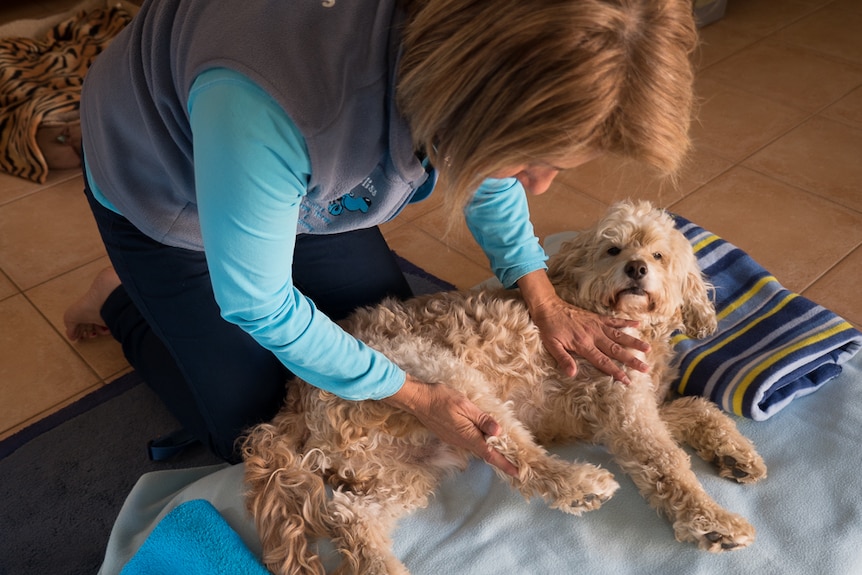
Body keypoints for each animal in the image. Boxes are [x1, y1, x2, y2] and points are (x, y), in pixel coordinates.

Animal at [243, 200, 768, 572]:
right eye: (613, 249)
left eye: (658, 254)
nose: (638, 268)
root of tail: (294, 397)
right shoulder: (624, 411)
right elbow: (669, 465)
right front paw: (714, 523)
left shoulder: (625, 408)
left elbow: (699, 407)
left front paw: (735, 455)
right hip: (446, 379)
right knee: (518, 456)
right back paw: (578, 485)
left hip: (402, 468)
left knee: (353, 517)